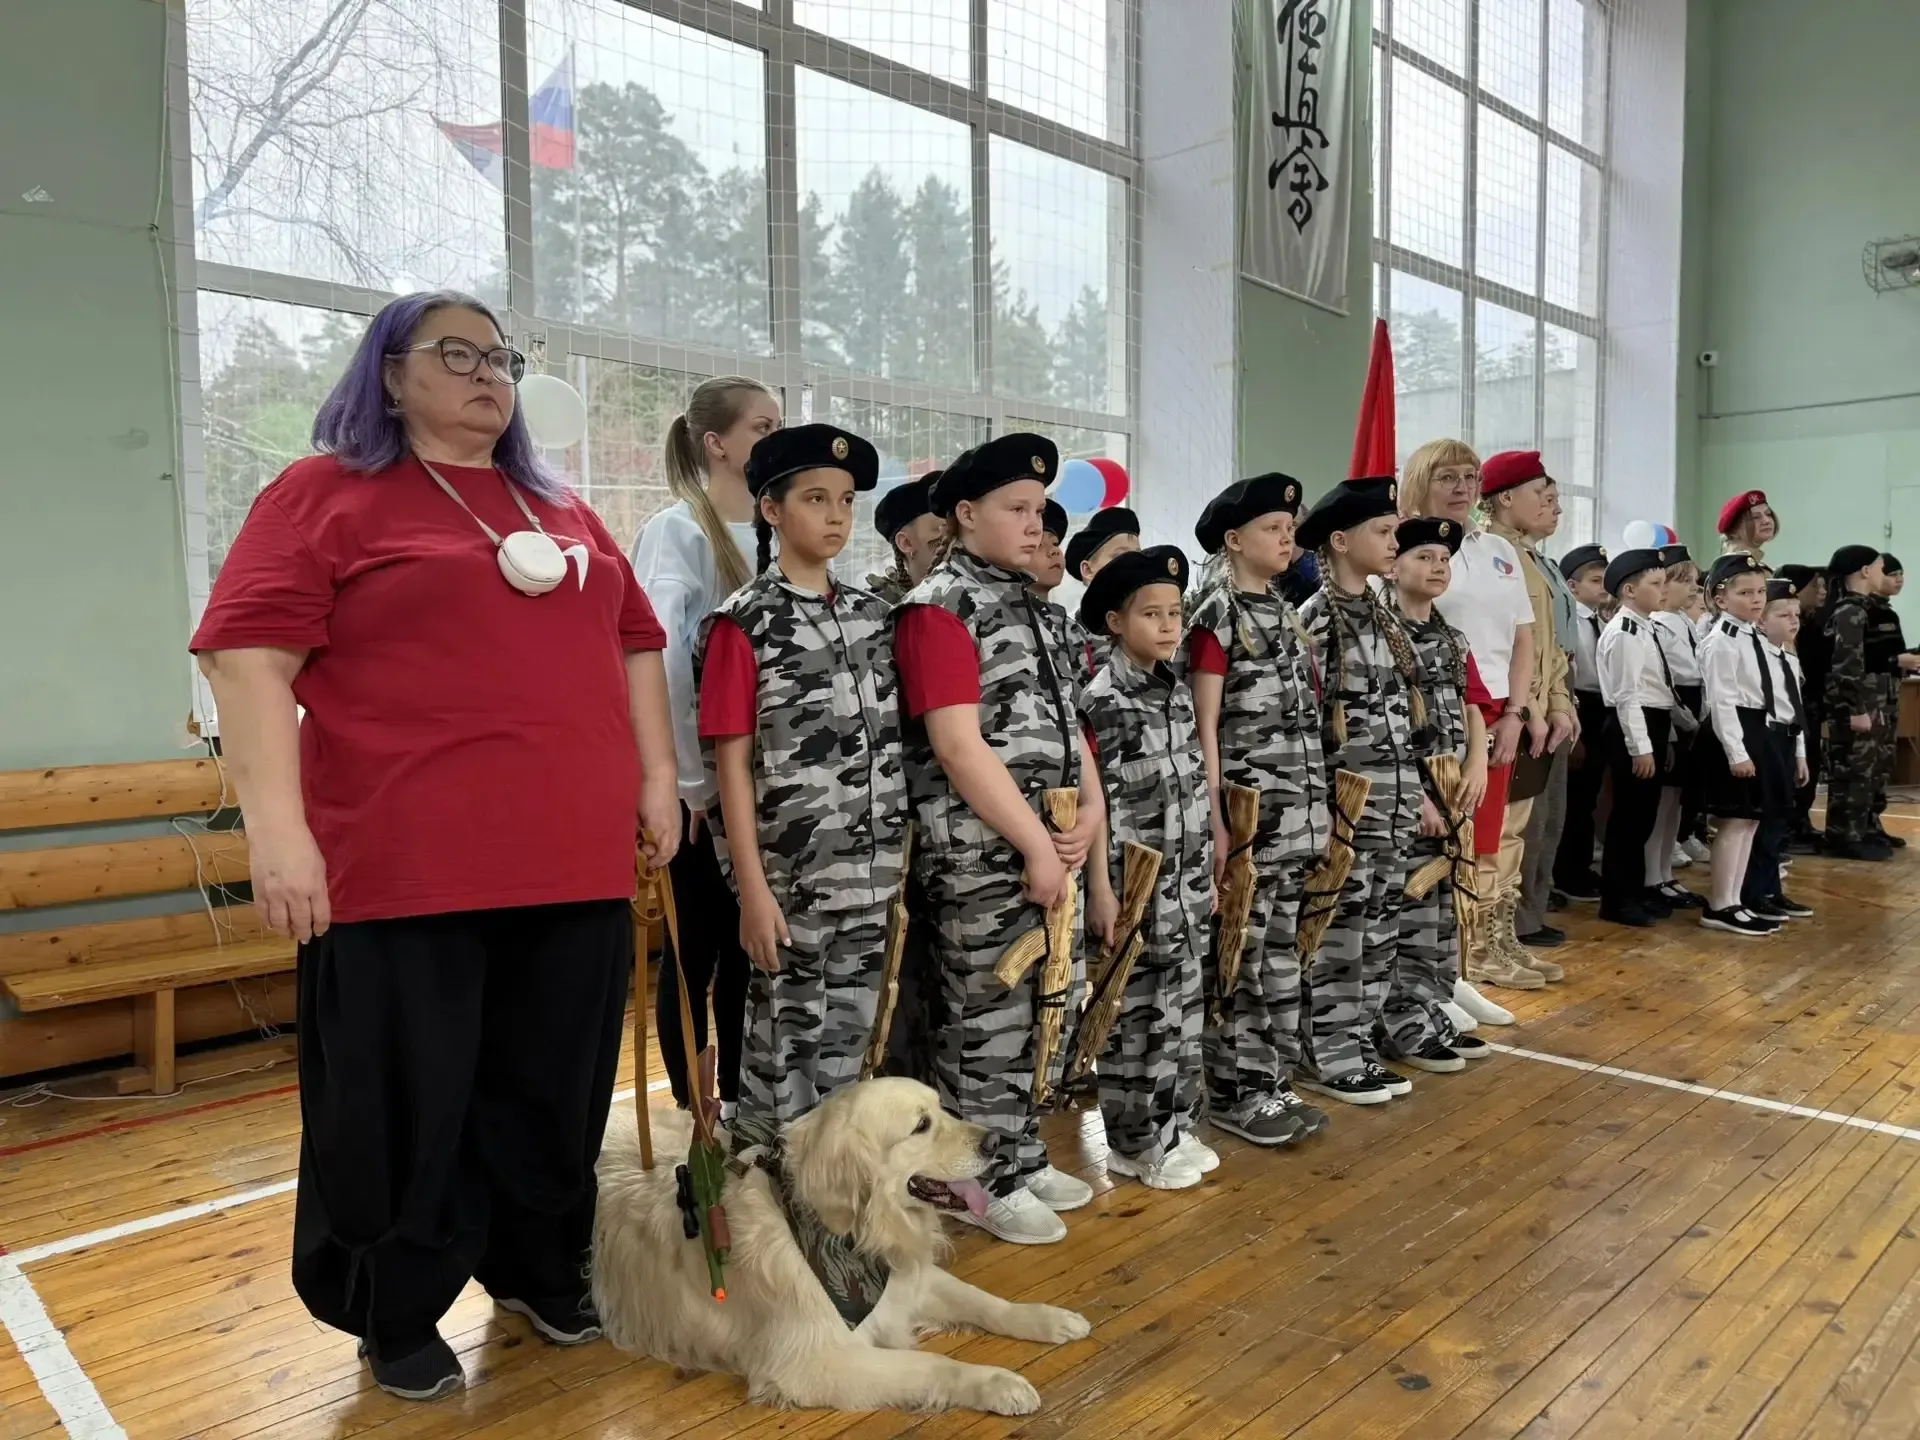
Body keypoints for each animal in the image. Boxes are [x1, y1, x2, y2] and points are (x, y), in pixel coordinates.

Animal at [592, 1078, 1091, 1414]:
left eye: (942, 1109)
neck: (849, 1236)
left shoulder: (904, 1281)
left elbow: (986, 1302)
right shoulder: (818, 1363)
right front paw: (999, 1383)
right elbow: (932, 1364)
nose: (995, 1141)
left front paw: (1049, 1319)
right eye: (921, 1125)